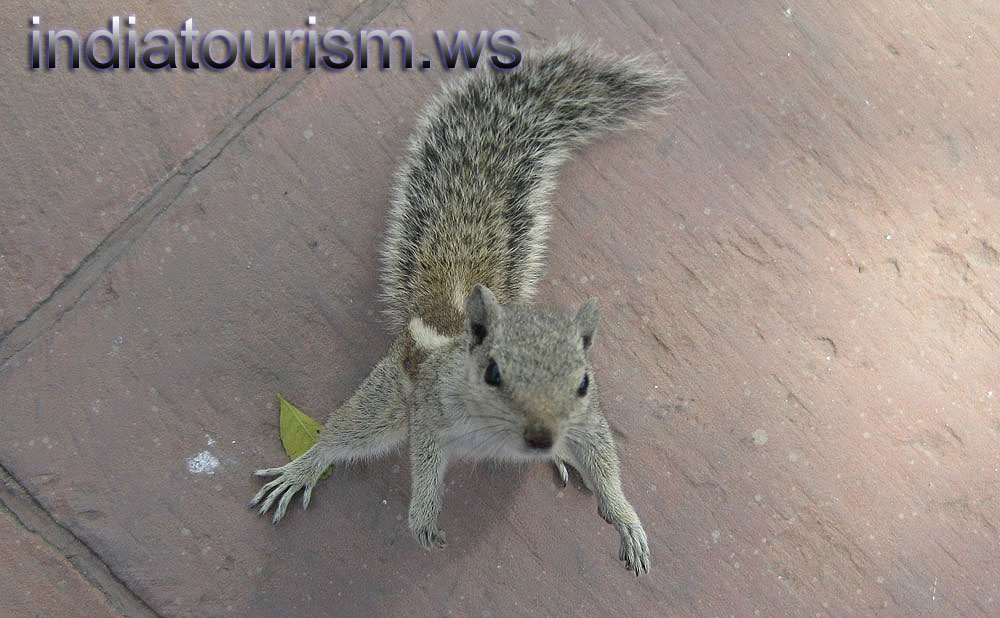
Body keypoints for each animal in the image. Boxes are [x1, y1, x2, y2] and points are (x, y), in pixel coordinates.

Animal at [251, 40, 680, 576]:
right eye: (492, 373)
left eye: (583, 382)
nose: (542, 437)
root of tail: (446, 313)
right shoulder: (432, 413)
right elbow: (424, 463)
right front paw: (423, 520)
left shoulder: (588, 420)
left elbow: (604, 459)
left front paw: (624, 518)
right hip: (388, 399)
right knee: (343, 434)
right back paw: (301, 469)